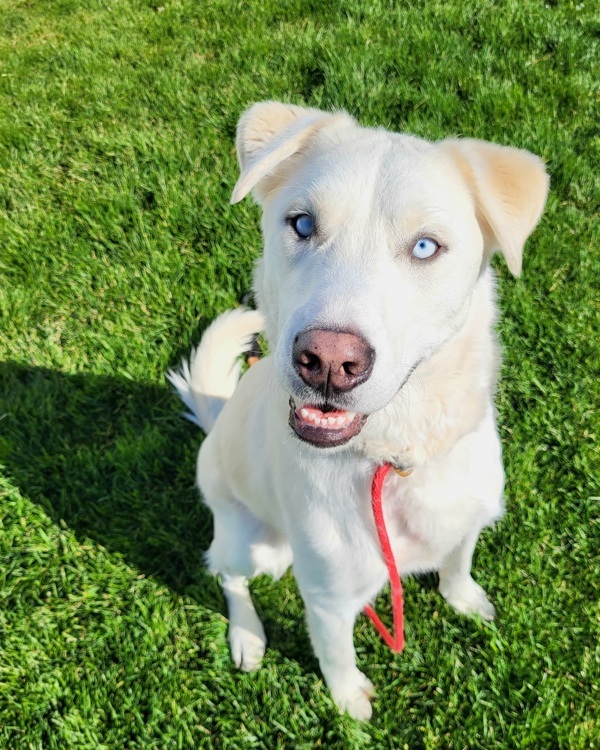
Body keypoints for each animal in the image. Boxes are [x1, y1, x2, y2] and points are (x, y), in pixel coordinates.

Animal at [169, 103, 548, 720]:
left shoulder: (467, 517)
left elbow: (458, 561)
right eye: (302, 225)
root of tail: (215, 423)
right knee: (225, 573)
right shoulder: (327, 598)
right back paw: (247, 635)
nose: (327, 361)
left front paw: (464, 598)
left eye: (425, 247)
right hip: (253, 546)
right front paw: (351, 705)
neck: (395, 456)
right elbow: (336, 656)